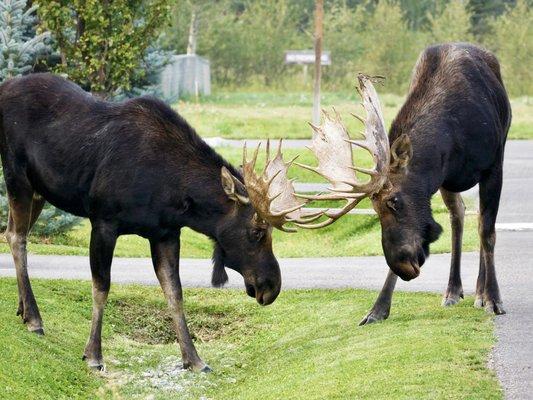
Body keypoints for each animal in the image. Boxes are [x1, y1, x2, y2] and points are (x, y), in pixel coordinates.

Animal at [0, 72, 320, 372]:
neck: (175, 191)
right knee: (18, 237)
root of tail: (5, 87)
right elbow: (101, 286)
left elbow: (174, 292)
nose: (272, 285)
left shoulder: (165, 233)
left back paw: (24, 310)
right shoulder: (103, 221)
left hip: (39, 189)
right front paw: (93, 354)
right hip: (17, 175)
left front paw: (194, 359)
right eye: (257, 231)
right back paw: (35, 318)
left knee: (12, 231)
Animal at [294, 43, 510, 324]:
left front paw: (494, 298)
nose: (403, 266)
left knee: (480, 222)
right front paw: (378, 309)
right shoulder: (440, 176)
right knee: (459, 215)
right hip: (449, 184)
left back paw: (481, 293)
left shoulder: (494, 166)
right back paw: (453, 290)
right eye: (375, 209)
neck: (452, 139)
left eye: (394, 201)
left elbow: (488, 232)